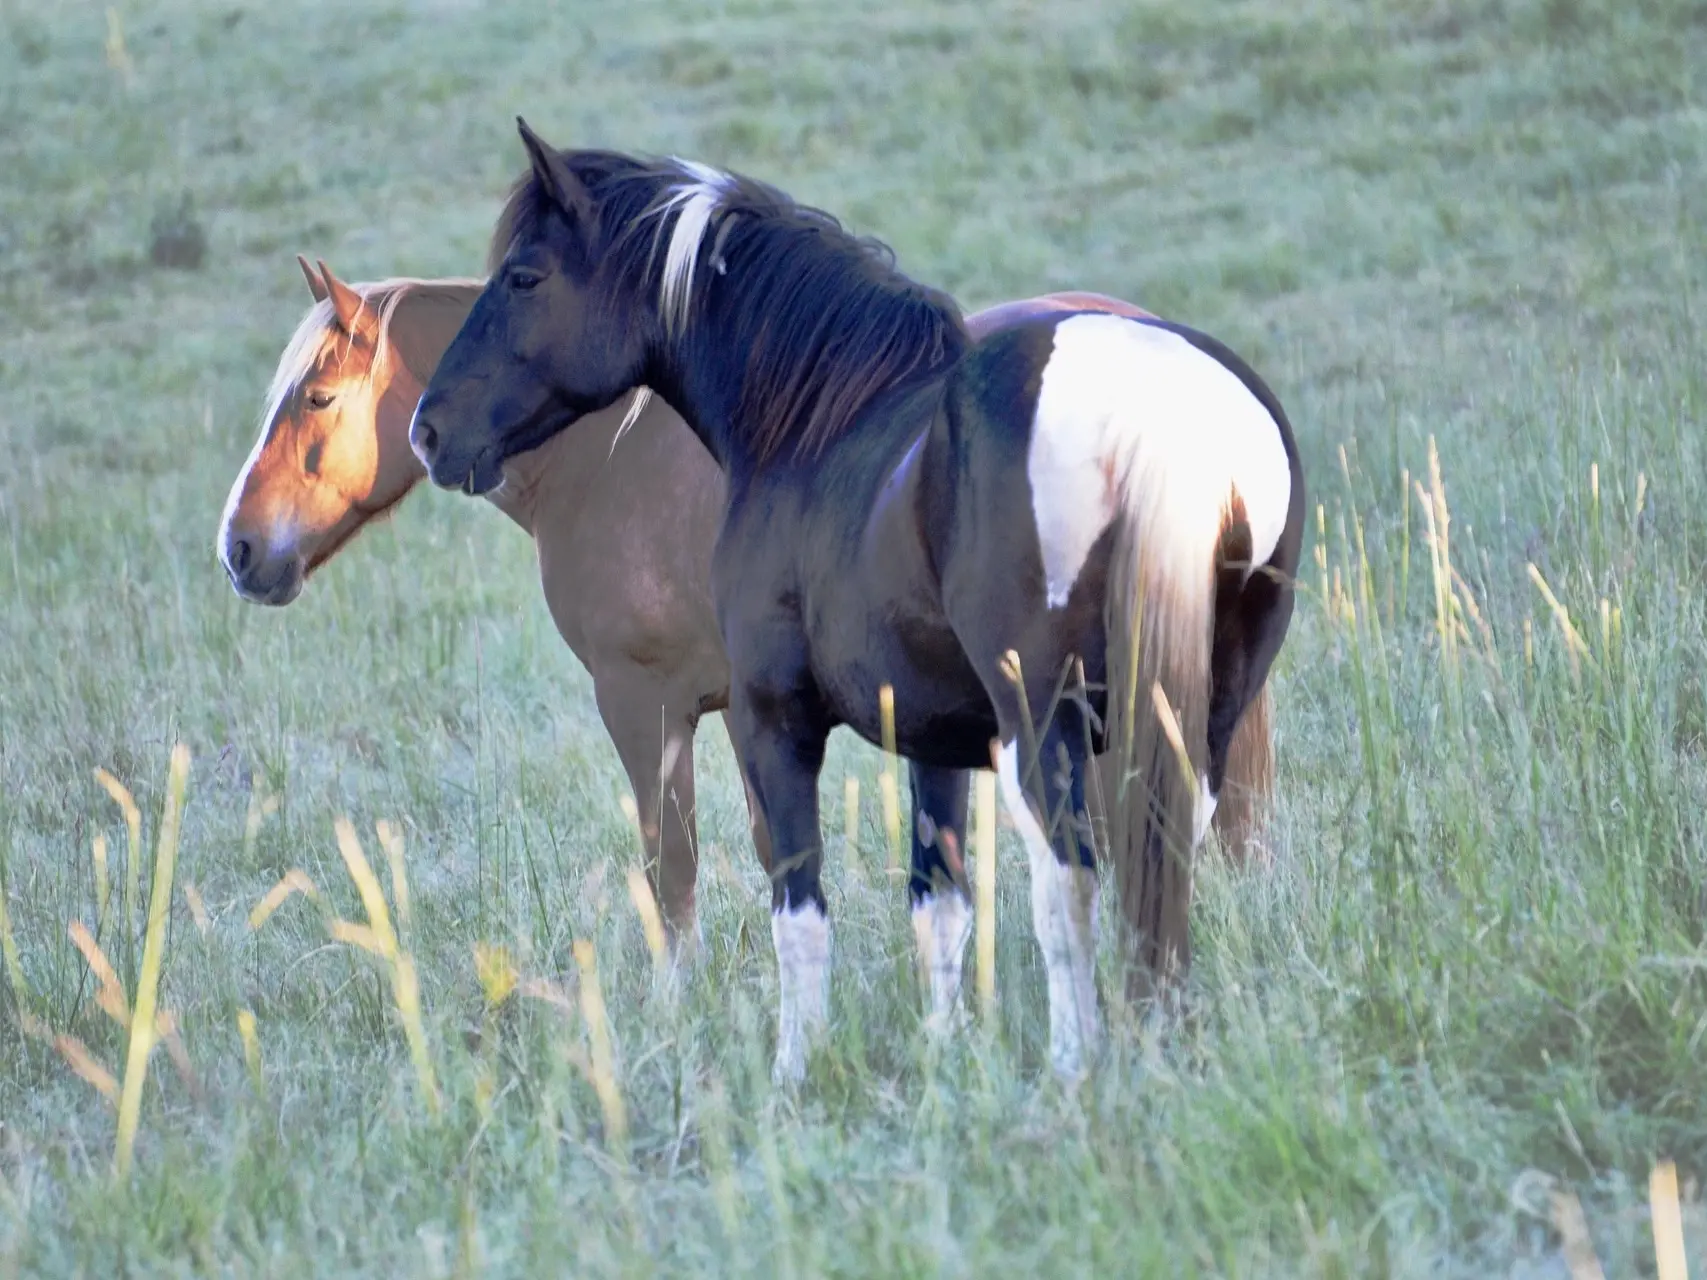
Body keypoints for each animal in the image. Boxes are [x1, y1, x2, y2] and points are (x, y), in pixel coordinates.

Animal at [409, 122, 1304, 1085]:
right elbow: (938, 903)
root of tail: (1161, 403)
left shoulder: (772, 722)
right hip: (1198, 716)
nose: (429, 430)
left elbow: (798, 907)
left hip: (1043, 722)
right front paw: (944, 1058)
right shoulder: (938, 737)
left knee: (1069, 876)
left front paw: (794, 1071)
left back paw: (1075, 1066)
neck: (816, 428)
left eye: (524, 277)